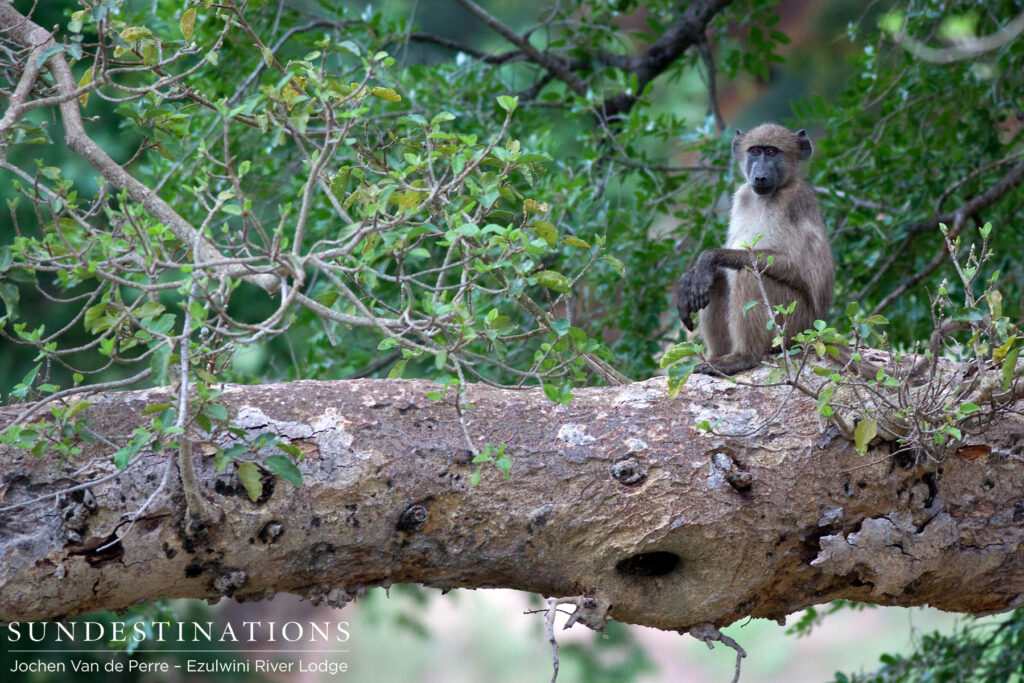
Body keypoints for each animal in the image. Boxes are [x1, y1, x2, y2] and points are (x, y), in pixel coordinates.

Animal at [676, 123, 834, 375]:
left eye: (771, 152)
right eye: (756, 151)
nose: (759, 176)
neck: (768, 196)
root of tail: (811, 330)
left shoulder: (792, 201)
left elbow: (792, 265)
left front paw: (708, 257)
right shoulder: (743, 196)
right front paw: (688, 280)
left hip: (792, 322)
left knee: (748, 275)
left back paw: (744, 358)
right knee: (717, 279)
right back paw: (716, 358)